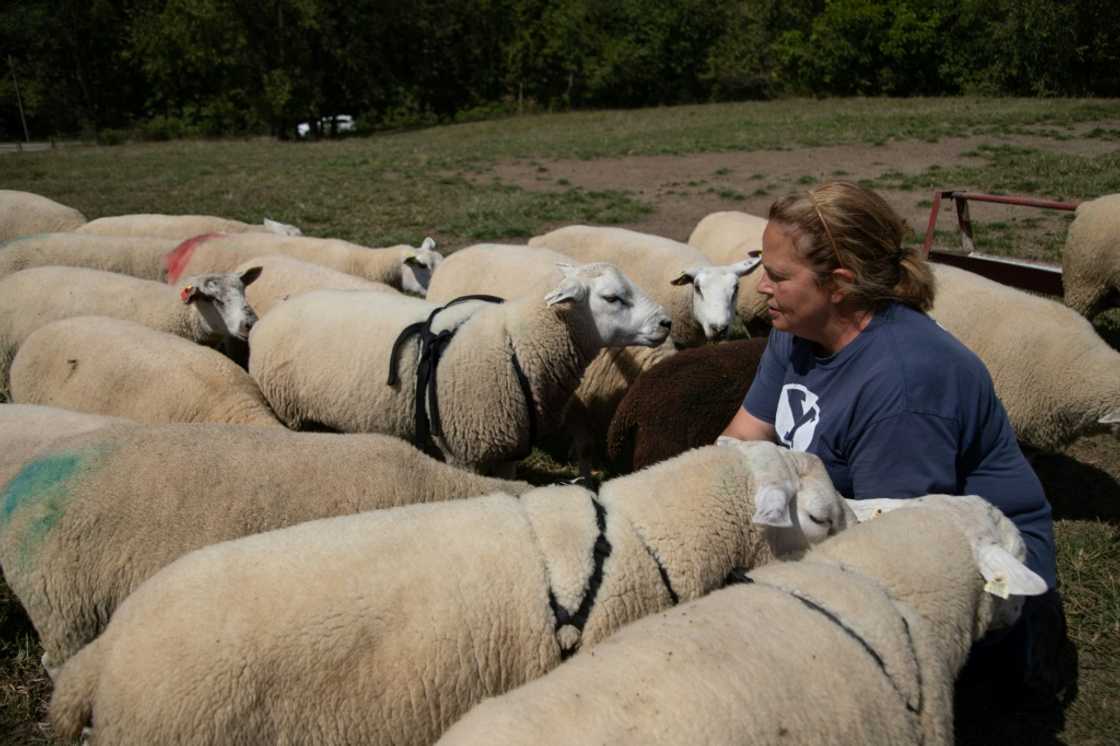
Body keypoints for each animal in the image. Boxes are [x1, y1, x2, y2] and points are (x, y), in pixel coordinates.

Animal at [248, 263, 672, 472]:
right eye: (612, 298)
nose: (666, 323)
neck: (517, 344)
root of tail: (268, 319)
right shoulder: (464, 451)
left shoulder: (506, 453)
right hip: (290, 413)